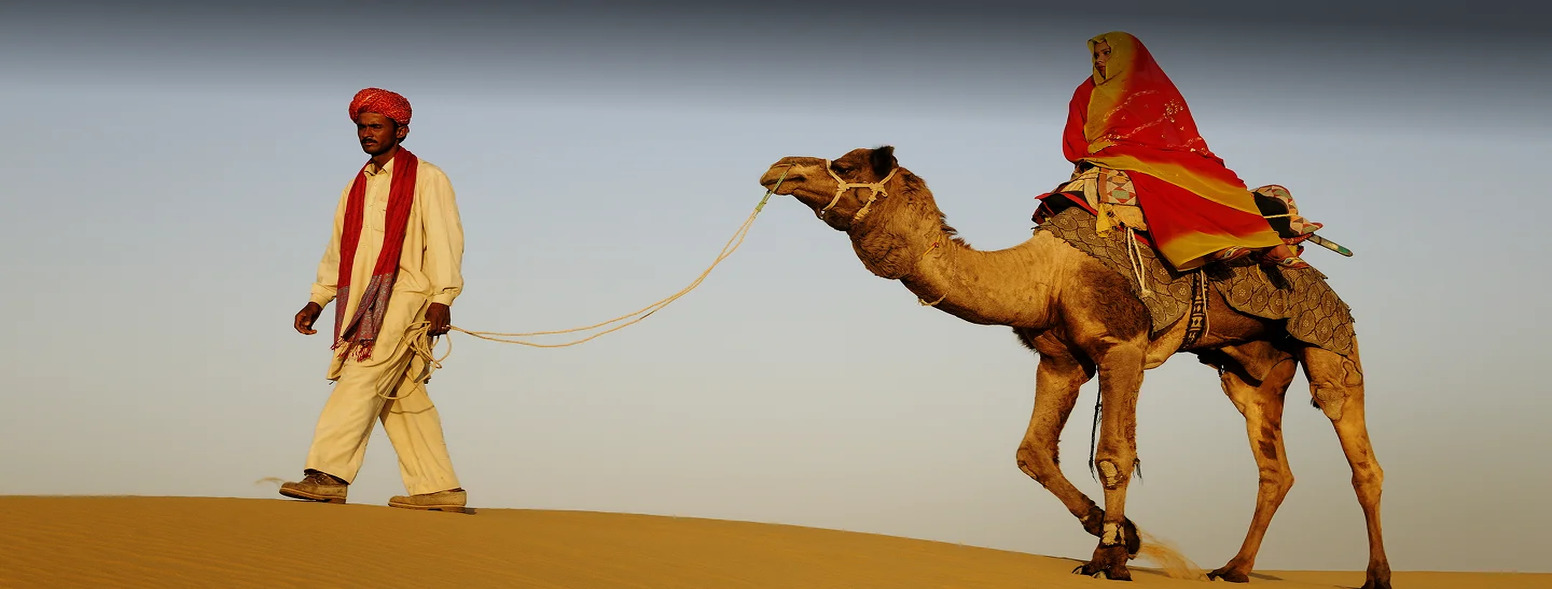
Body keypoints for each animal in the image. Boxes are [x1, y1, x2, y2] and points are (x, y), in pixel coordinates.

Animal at [757, 146, 1391, 589]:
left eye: (844, 163)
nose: (778, 169)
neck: (1046, 274)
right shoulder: (1060, 360)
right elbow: (1032, 453)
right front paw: (1122, 537)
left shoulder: (1123, 346)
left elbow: (1114, 455)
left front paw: (1110, 557)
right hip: (1248, 371)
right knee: (1274, 467)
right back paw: (1233, 569)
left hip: (1331, 344)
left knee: (1360, 454)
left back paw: (1377, 575)